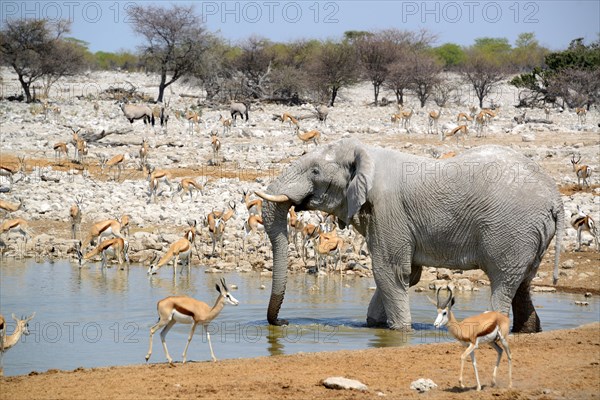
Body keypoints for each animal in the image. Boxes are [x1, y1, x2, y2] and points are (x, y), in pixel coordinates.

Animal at [256, 139, 564, 332]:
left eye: (315, 171)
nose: (283, 323)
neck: (367, 153)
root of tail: (556, 199)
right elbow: (406, 275)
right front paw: (375, 325)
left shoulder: (389, 211)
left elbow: (389, 272)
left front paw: (400, 330)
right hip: (527, 234)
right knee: (522, 283)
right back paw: (530, 330)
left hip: (511, 230)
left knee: (503, 282)